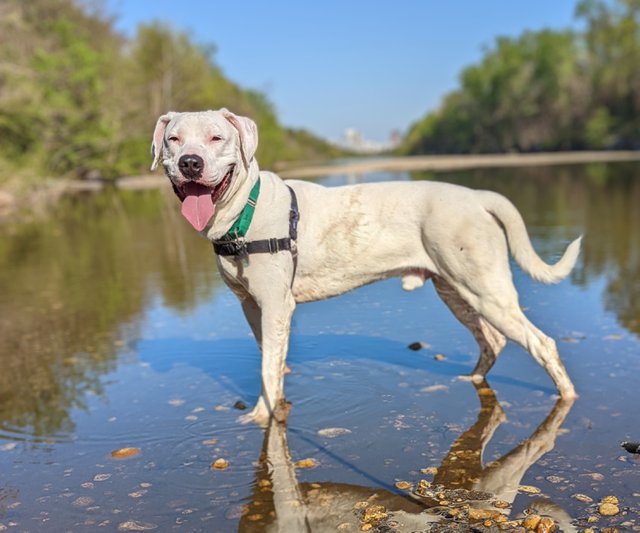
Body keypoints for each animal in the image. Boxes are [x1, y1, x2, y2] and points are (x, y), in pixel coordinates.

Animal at [152, 108, 584, 424]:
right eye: (173, 139)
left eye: (216, 138)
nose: (191, 163)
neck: (245, 212)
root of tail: (478, 196)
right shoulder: (252, 307)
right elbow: (271, 362)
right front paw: (272, 405)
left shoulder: (276, 306)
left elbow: (268, 367)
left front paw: (264, 416)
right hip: (455, 289)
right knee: (492, 340)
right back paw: (472, 378)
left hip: (486, 290)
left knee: (541, 343)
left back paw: (566, 397)